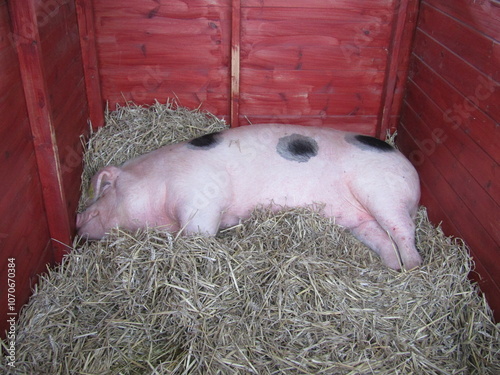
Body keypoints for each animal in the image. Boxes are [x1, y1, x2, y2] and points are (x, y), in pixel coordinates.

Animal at [77, 125, 422, 272]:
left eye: (106, 190)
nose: (78, 218)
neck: (157, 181)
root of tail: (413, 171)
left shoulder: (200, 198)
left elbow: (199, 232)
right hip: (358, 218)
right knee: (381, 237)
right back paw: (393, 267)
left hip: (383, 192)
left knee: (403, 231)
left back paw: (413, 267)